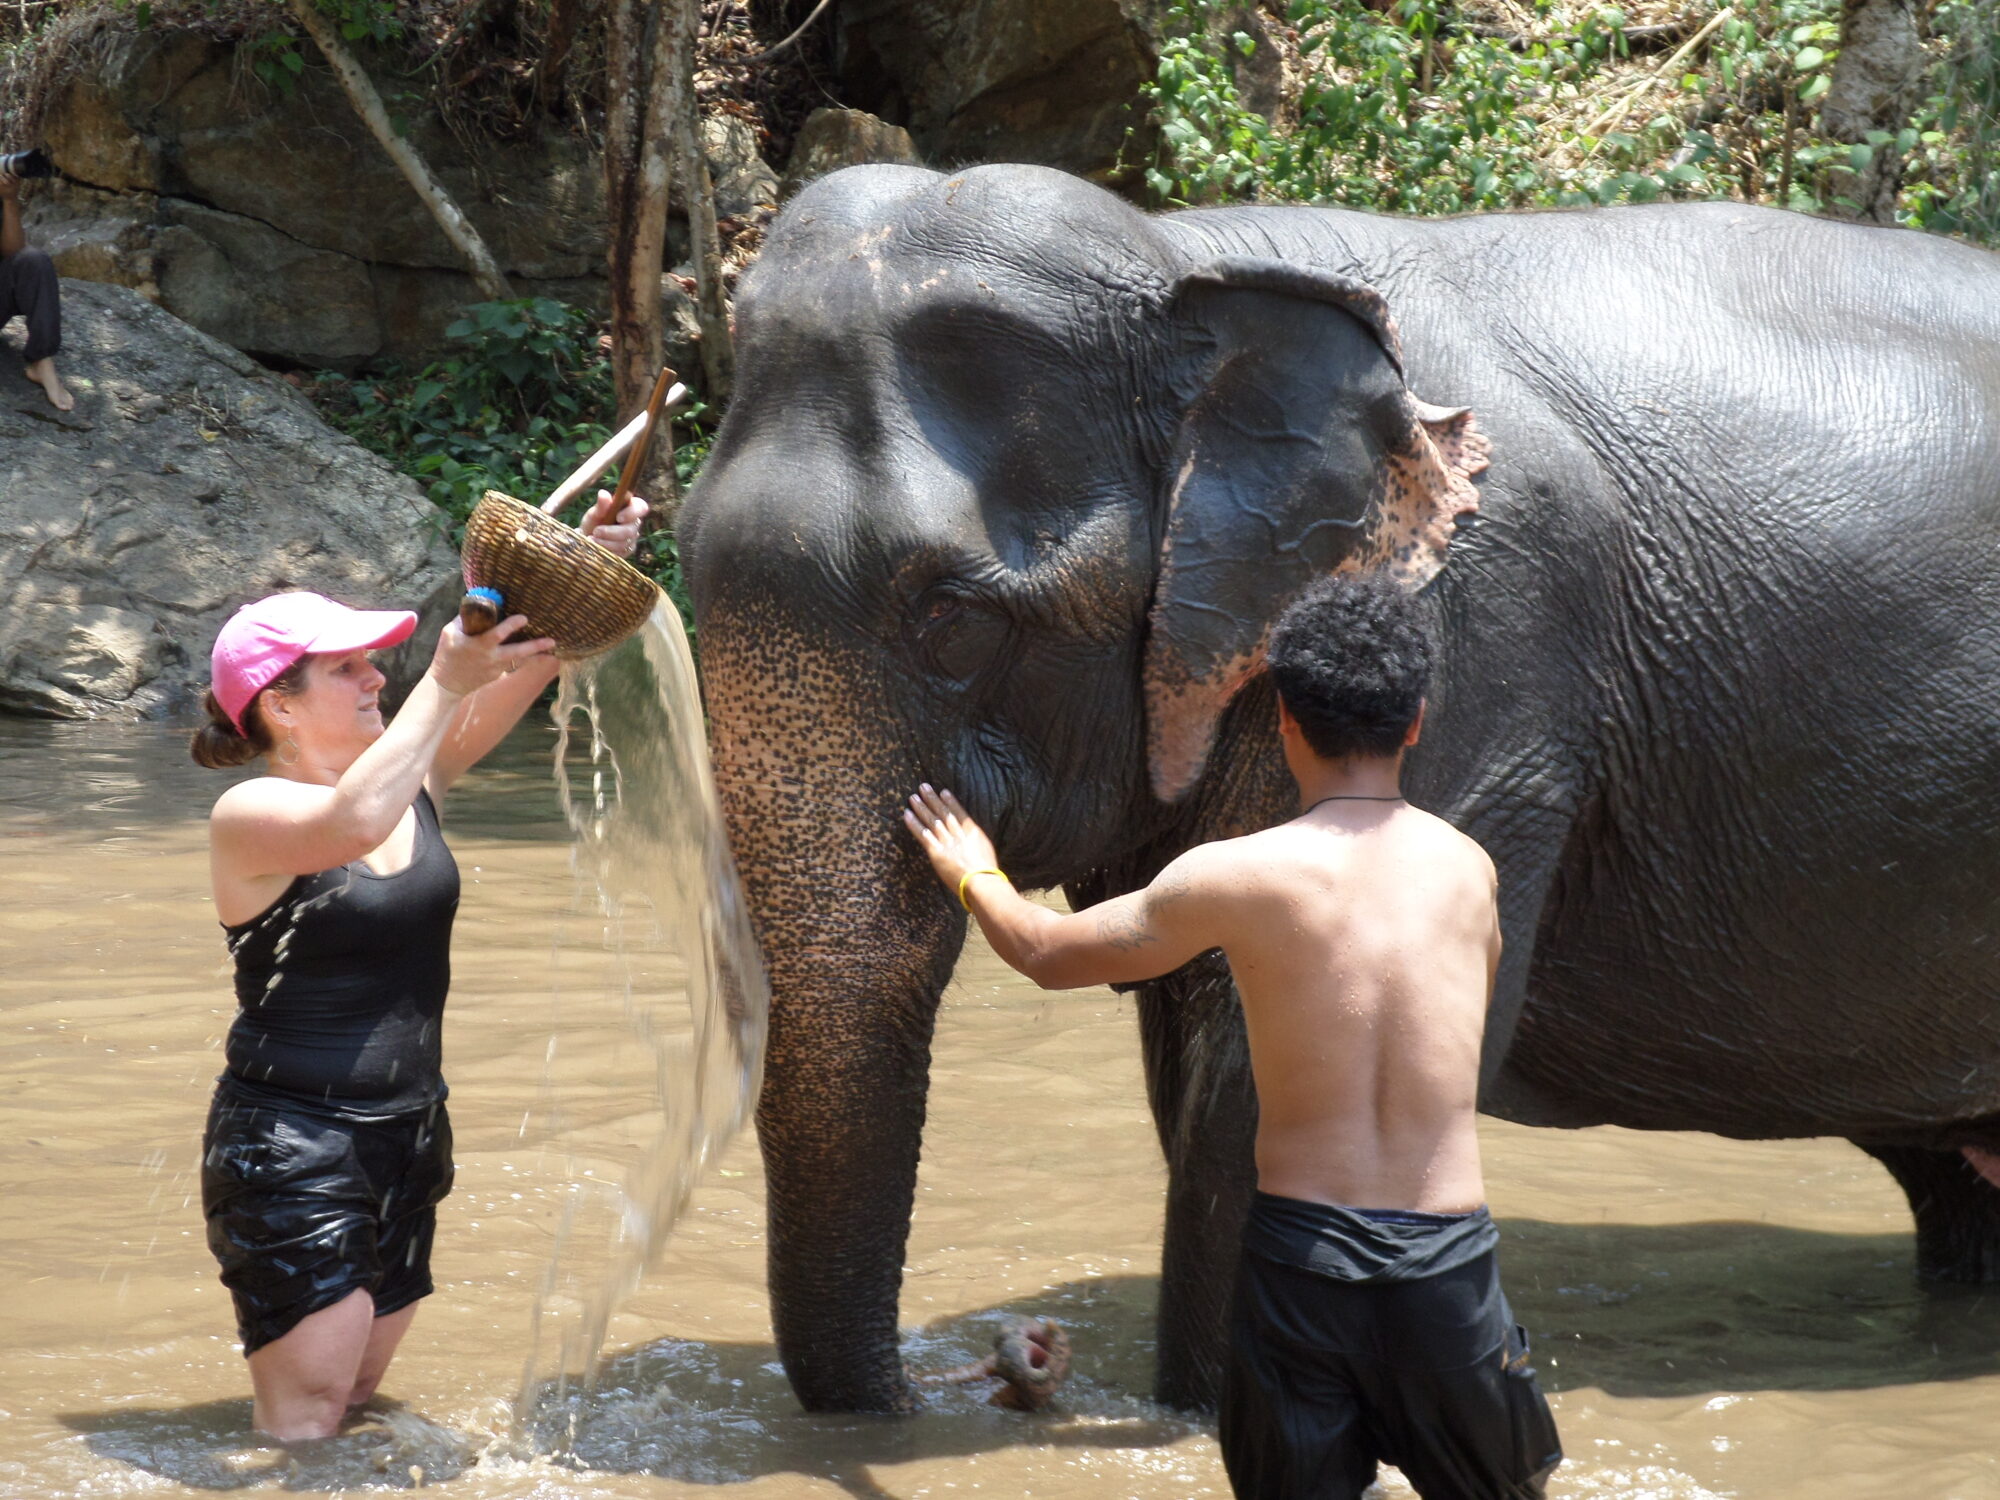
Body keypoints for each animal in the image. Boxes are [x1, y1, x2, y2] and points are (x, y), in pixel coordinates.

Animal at [676, 164, 2000, 1424]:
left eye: (952, 621)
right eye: (680, 565)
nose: (1010, 1364)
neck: (1191, 264)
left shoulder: (1476, 639)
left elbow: (1265, 1070)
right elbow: (1197, 1050)